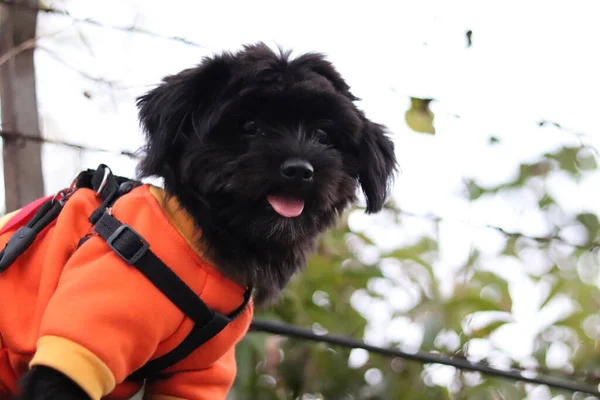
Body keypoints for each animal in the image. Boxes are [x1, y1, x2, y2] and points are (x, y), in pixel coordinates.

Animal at [15, 42, 394, 398]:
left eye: (322, 136)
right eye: (250, 125)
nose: (300, 170)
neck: (202, 242)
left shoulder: (199, 374)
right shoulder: (83, 338)